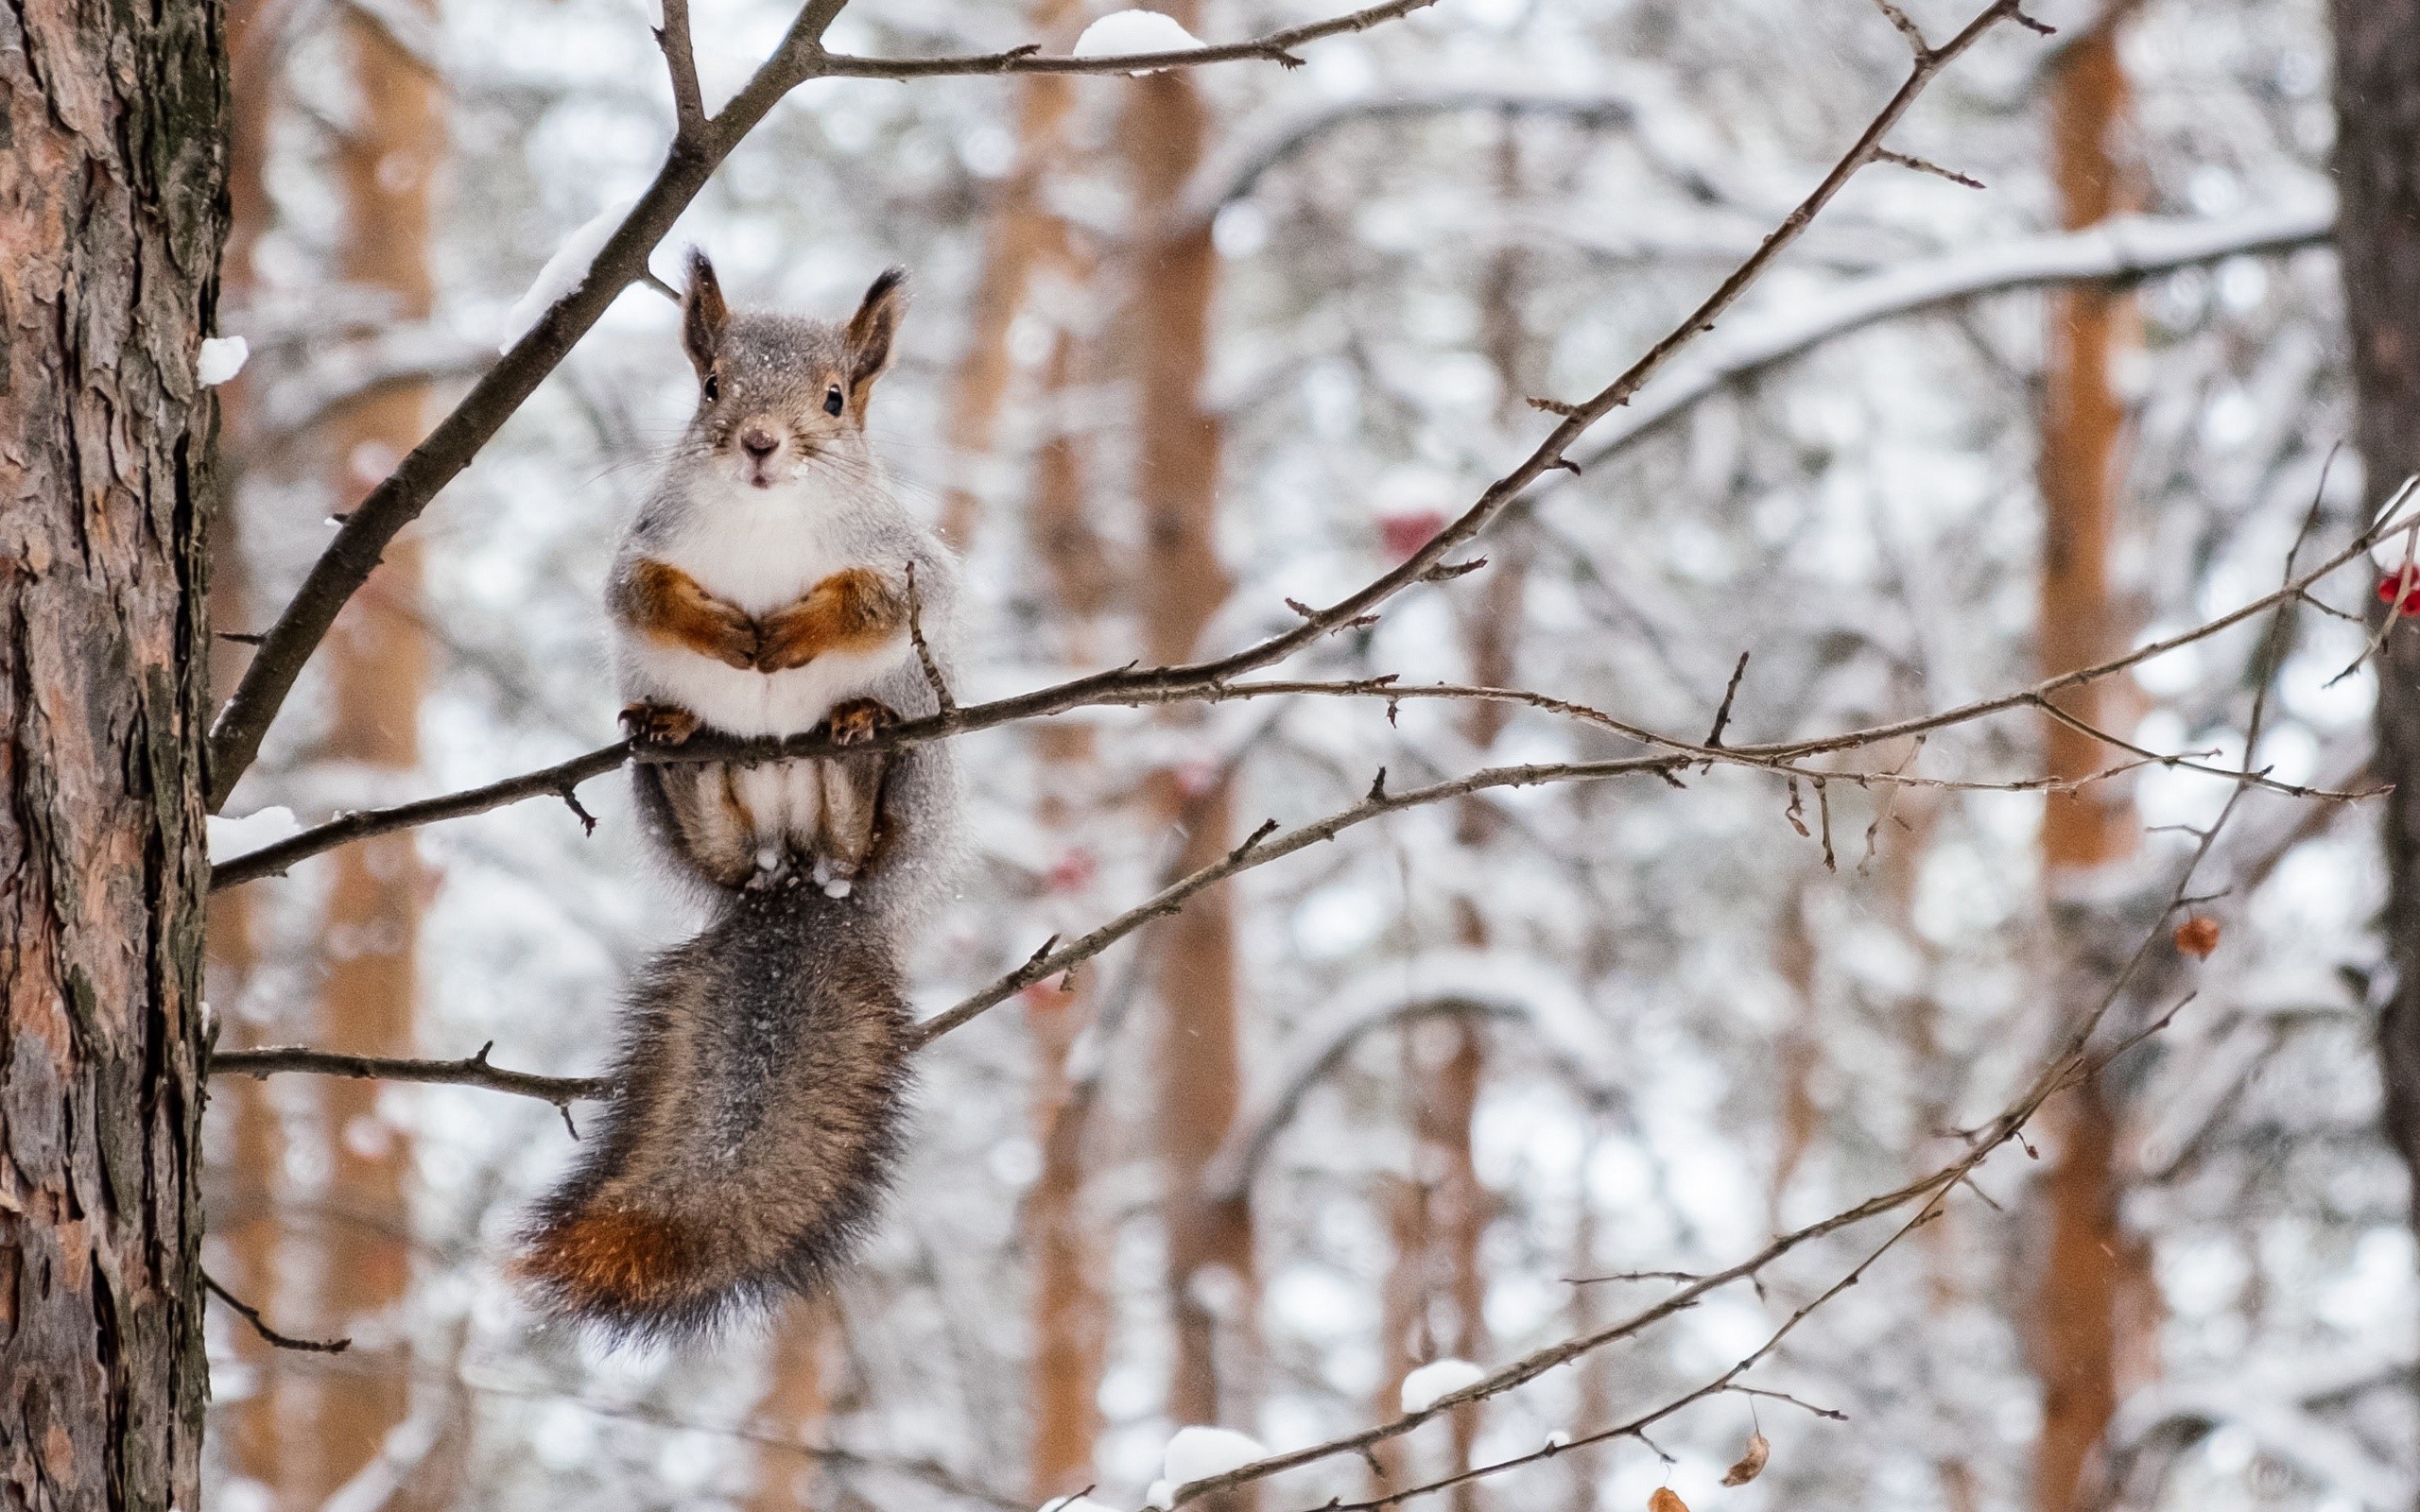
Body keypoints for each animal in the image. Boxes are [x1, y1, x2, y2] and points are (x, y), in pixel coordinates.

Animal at [519, 249, 960, 1342]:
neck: (766, 518)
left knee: (855, 822)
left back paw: (854, 741)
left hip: (910, 784)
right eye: (711, 387)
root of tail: (793, 879)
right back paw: (682, 742)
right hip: (675, 803)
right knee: (709, 814)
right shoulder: (639, 551)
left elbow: (882, 599)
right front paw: (722, 631)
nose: (761, 443)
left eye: (836, 400)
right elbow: (642, 595)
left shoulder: (909, 562)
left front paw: (793, 632)